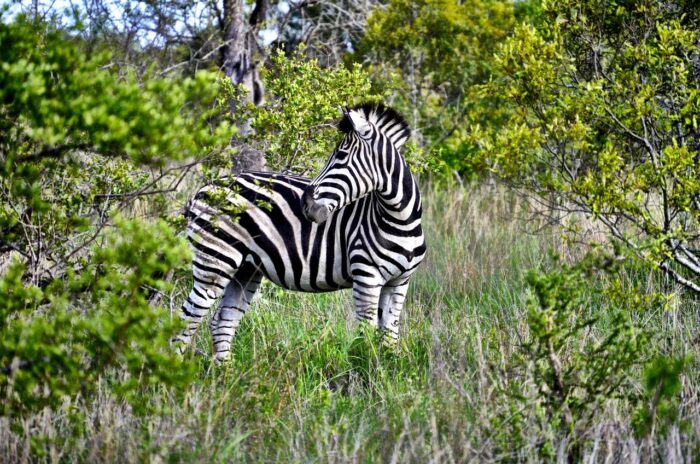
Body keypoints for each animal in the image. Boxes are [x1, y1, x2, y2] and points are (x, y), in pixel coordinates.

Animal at [175, 103, 426, 360]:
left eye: (340, 156)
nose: (306, 204)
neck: (400, 221)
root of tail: (203, 189)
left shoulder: (399, 282)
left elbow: (389, 337)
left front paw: (386, 366)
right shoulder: (366, 277)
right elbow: (366, 335)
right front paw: (363, 366)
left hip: (246, 269)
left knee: (222, 321)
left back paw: (226, 370)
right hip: (215, 261)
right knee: (187, 319)